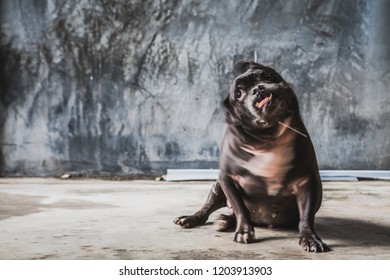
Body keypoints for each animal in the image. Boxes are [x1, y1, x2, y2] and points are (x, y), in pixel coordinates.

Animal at [174, 60, 330, 253]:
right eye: (239, 94)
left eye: (268, 75)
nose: (258, 89)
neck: (270, 137)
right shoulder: (227, 179)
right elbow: (241, 208)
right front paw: (243, 231)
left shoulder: (306, 182)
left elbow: (306, 216)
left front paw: (311, 238)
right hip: (217, 187)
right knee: (208, 209)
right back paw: (194, 219)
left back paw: (225, 220)